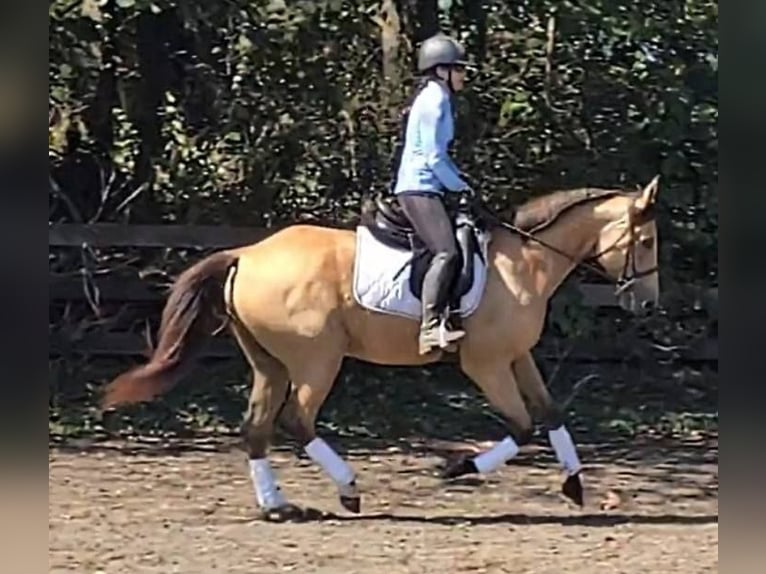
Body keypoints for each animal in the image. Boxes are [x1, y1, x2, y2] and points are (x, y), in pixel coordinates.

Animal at [100, 176, 661, 521]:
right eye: (648, 241)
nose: (648, 304)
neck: (525, 264)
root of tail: (246, 253)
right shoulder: (486, 364)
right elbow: (523, 427)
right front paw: (457, 469)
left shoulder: (517, 356)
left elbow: (551, 413)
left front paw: (574, 485)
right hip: (316, 360)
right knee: (296, 420)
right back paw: (348, 490)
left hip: (271, 364)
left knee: (257, 428)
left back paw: (278, 507)